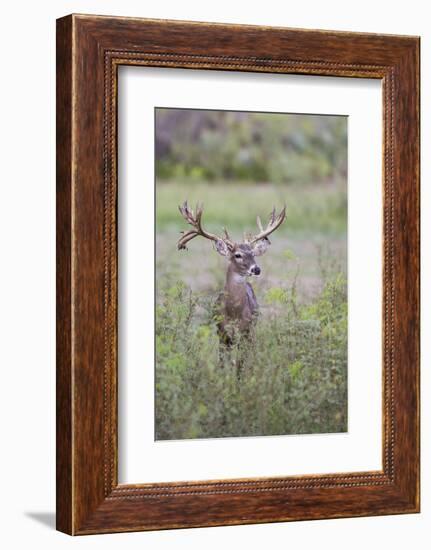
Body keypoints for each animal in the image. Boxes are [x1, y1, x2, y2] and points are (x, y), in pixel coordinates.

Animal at [177, 199, 286, 376]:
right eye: (237, 255)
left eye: (253, 254)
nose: (256, 269)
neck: (233, 313)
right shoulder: (222, 333)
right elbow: (222, 365)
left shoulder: (245, 332)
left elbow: (239, 368)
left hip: (252, 331)